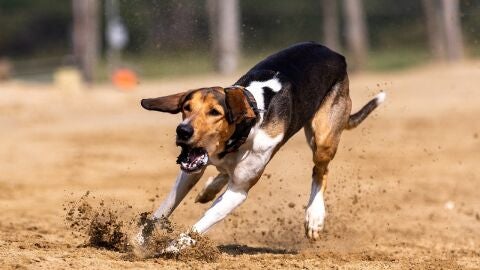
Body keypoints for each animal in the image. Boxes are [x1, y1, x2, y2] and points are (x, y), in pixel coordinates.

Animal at [137, 42, 384, 251]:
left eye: (215, 112)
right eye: (186, 107)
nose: (183, 131)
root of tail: (336, 54)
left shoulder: (237, 192)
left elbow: (204, 221)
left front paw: (175, 246)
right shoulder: (191, 170)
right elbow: (165, 208)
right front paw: (139, 240)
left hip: (324, 138)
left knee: (320, 171)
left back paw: (314, 217)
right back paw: (210, 188)